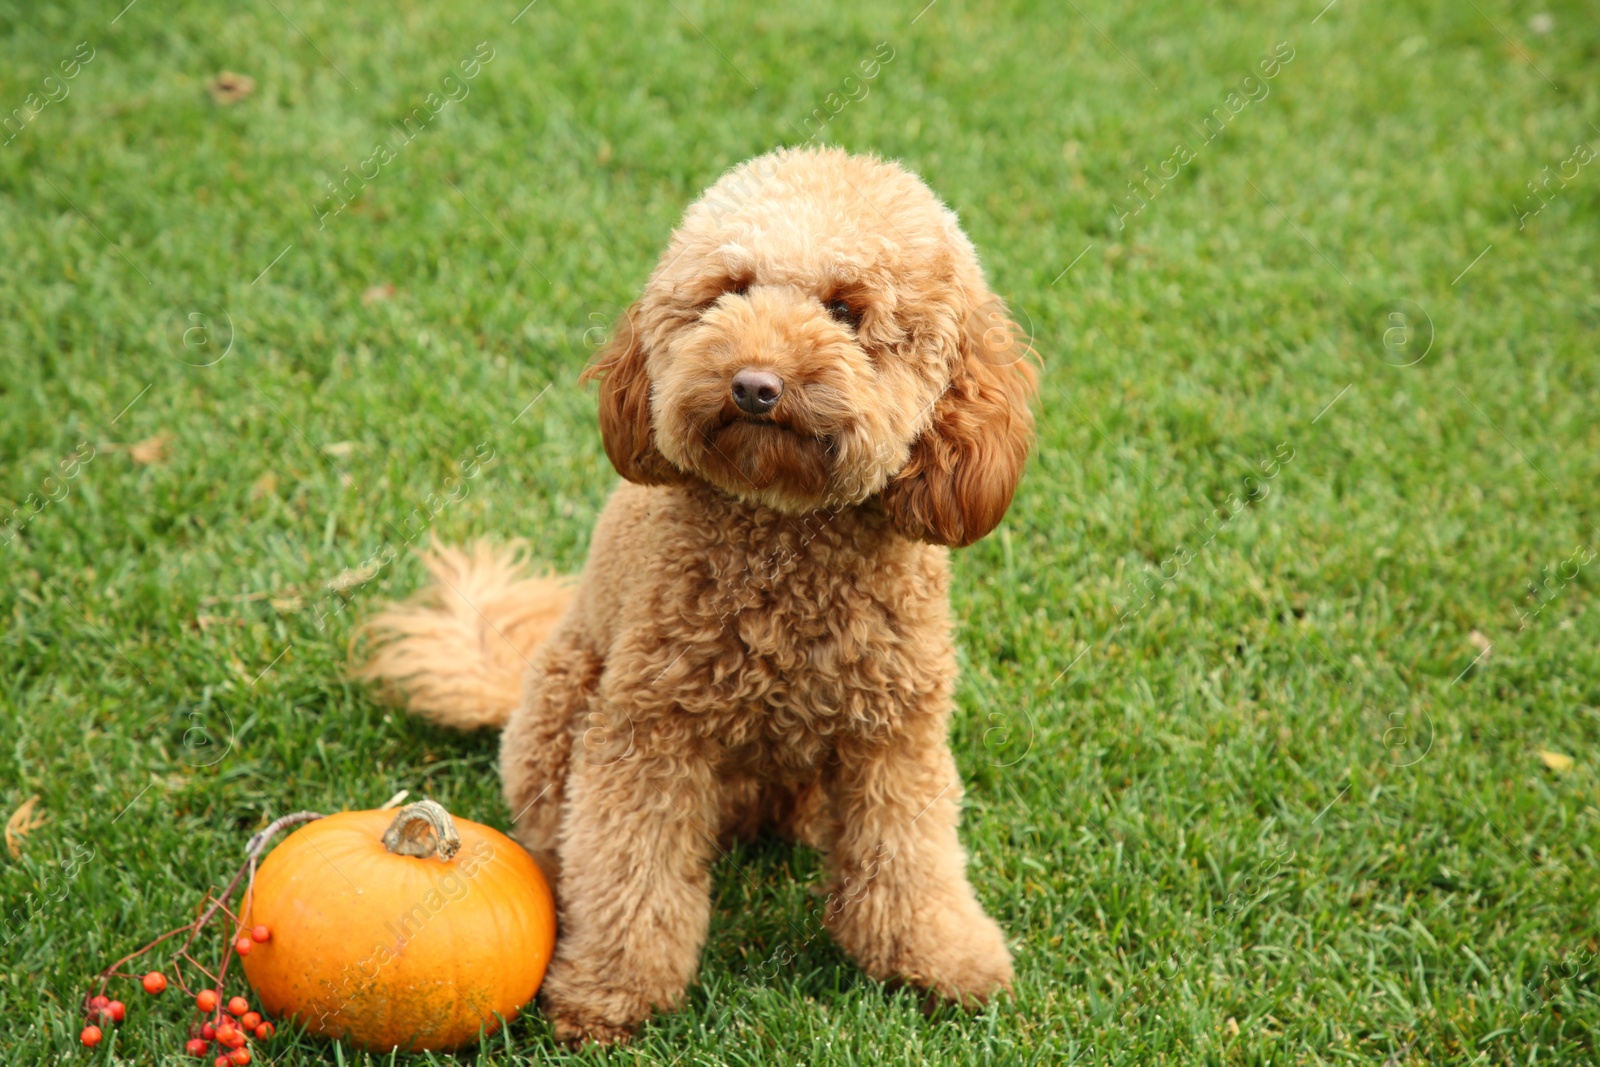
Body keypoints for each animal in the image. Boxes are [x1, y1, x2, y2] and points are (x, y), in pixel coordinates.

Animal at [356, 143, 1036, 1043]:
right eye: (728, 290)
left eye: (848, 310)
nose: (755, 385)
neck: (786, 533)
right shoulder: (649, 732)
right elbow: (632, 874)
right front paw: (608, 994)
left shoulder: (894, 736)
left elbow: (910, 858)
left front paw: (943, 961)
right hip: (562, 707)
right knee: (558, 839)